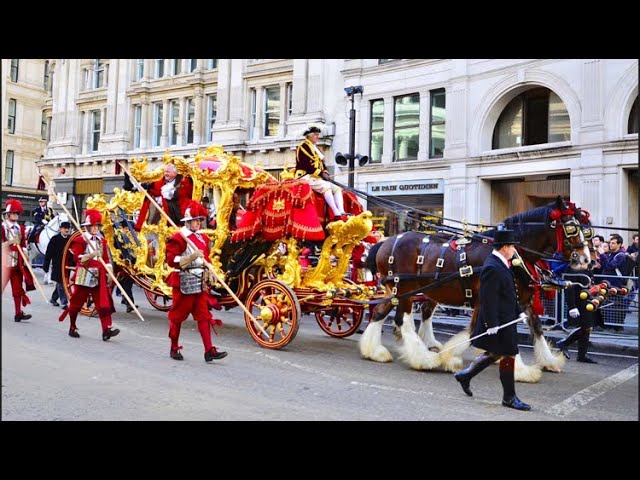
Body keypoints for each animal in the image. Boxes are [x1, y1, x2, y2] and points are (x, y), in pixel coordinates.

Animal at [362, 196, 592, 382]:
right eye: (571, 228)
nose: (586, 260)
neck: (513, 255)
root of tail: (386, 241)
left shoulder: (522, 300)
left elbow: (536, 328)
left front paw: (548, 360)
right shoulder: (488, 298)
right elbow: (480, 330)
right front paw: (450, 357)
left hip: (397, 292)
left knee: (381, 312)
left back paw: (374, 351)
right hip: (404, 290)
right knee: (404, 320)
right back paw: (424, 358)